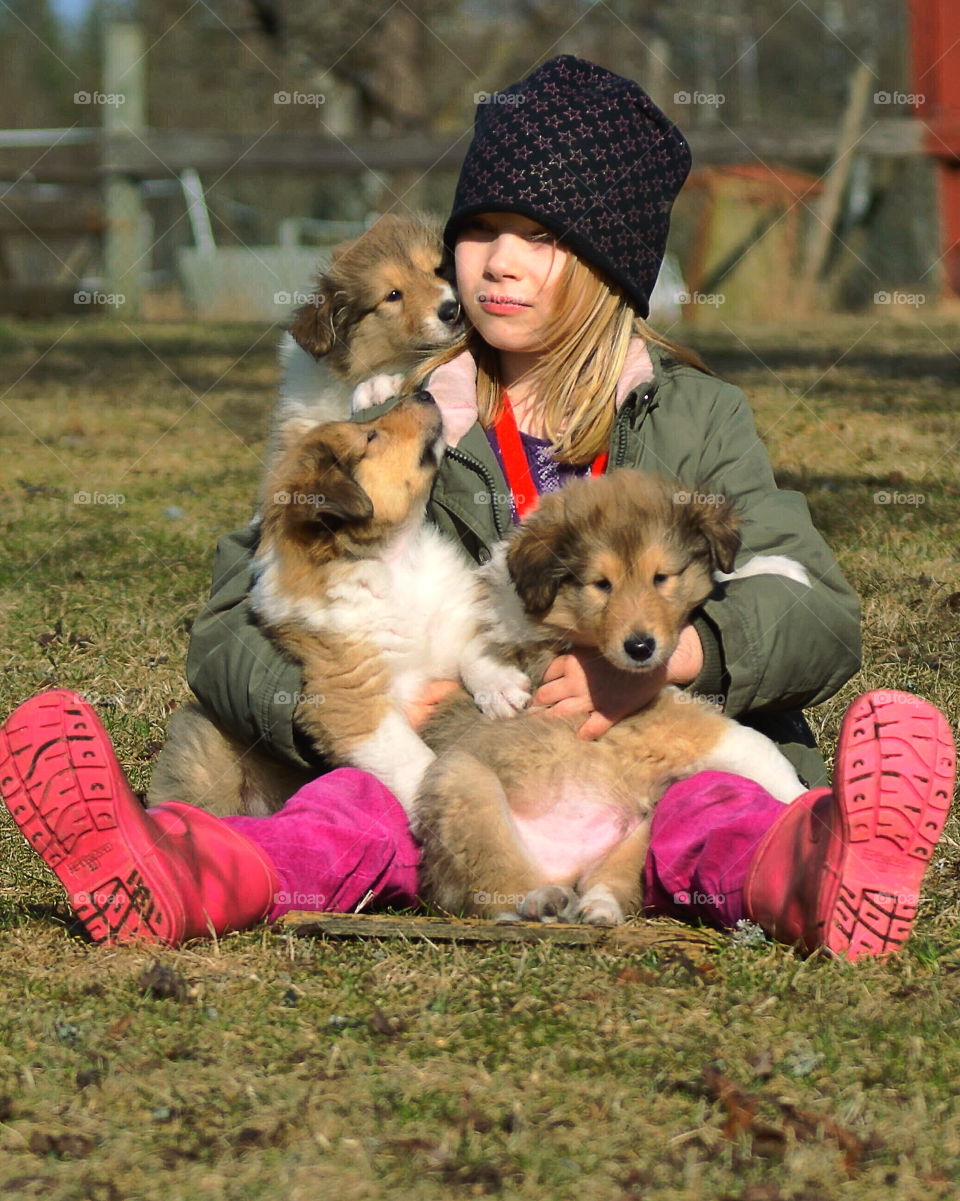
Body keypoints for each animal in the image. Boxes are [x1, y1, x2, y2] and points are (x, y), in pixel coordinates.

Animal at [148, 393, 533, 816]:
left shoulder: (453, 613)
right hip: (204, 748)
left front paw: (501, 689)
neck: (395, 562)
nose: (424, 394)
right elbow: (411, 761)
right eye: (371, 436)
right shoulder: (350, 698)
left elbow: (474, 647)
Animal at [415, 470, 812, 927]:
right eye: (601, 585)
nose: (640, 648)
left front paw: (783, 568)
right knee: (494, 893)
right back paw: (538, 901)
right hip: (464, 788)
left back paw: (596, 907)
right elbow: (757, 748)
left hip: (642, 827)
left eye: (662, 577)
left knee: (609, 882)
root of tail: (565, 862)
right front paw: (805, 802)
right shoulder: (664, 721)